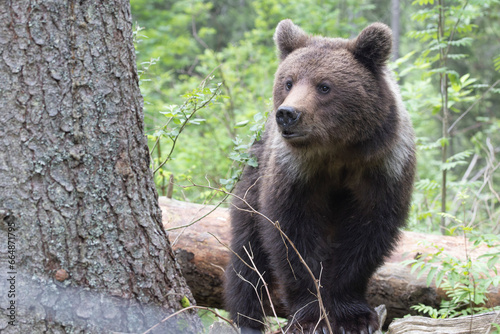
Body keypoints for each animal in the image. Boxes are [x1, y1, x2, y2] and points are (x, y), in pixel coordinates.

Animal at [225, 20, 416, 334]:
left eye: (324, 86)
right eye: (288, 82)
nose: (288, 114)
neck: (337, 152)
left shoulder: (382, 169)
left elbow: (366, 235)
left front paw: (353, 316)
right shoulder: (296, 174)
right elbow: (291, 238)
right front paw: (312, 316)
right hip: (253, 177)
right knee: (247, 253)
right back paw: (247, 319)